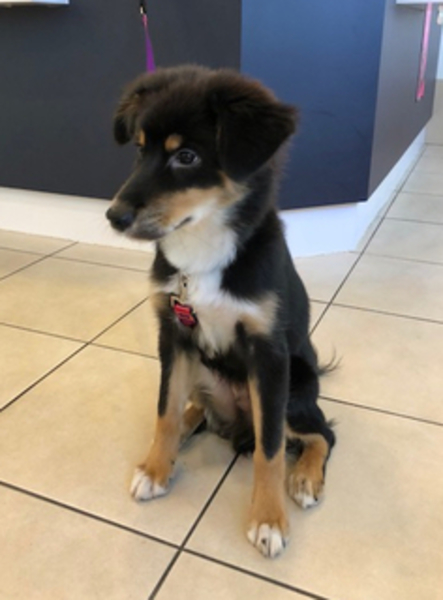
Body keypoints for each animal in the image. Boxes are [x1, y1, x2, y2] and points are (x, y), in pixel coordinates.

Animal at [106, 65, 335, 558]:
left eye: (187, 156)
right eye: (140, 150)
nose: (113, 216)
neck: (203, 252)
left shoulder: (268, 355)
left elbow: (271, 449)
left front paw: (268, 520)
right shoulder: (173, 335)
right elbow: (164, 410)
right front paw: (156, 468)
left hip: (295, 386)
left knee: (321, 433)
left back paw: (306, 477)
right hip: (201, 367)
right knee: (192, 408)